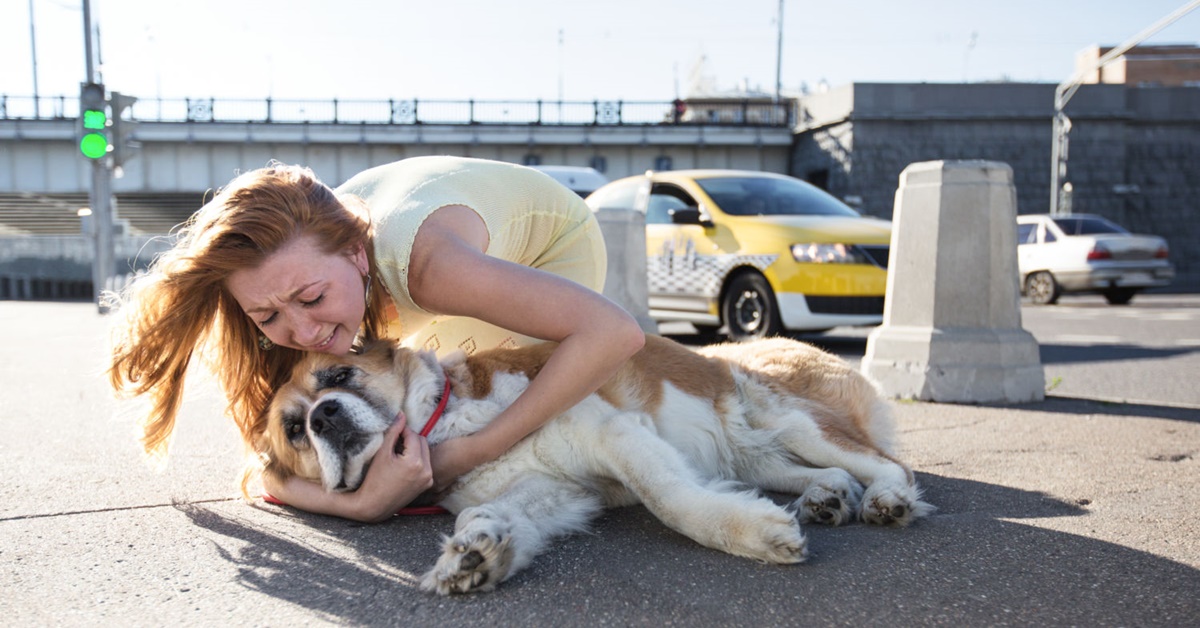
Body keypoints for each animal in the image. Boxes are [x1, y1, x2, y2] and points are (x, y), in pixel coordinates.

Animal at [258, 333, 931, 595]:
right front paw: (477, 553)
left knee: (886, 463)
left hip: (791, 421)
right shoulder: (556, 489)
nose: (323, 418)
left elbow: (671, 500)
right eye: (294, 430)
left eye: (338, 377)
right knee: (819, 473)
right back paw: (827, 497)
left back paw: (886, 500)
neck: (448, 422)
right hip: (755, 455)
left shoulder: (613, 434)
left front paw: (754, 535)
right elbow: (494, 513)